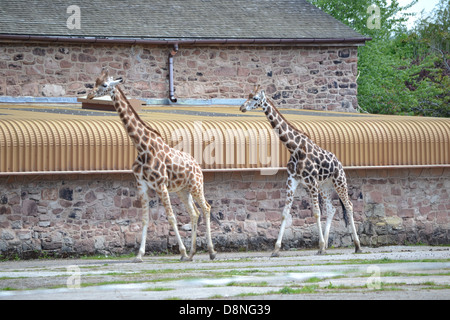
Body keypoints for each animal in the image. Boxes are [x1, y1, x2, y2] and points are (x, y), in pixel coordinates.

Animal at [87, 69, 217, 262]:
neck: (142, 148)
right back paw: (193, 253)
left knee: (206, 208)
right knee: (194, 213)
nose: (89, 94)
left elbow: (171, 217)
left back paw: (211, 252)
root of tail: (197, 165)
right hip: (182, 190)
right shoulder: (141, 185)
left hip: (196, 185)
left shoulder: (161, 185)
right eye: (94, 82)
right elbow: (145, 219)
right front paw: (139, 255)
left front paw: (182, 251)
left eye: (104, 85)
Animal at [239, 85, 362, 255]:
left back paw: (357, 246)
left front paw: (319, 245)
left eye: (256, 98)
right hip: (324, 186)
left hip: (339, 181)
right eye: (248, 96)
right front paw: (276, 249)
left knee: (349, 205)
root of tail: (339, 163)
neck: (294, 148)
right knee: (331, 209)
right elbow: (285, 213)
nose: (242, 107)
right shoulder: (292, 180)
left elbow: (316, 212)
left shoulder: (311, 181)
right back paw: (326, 247)